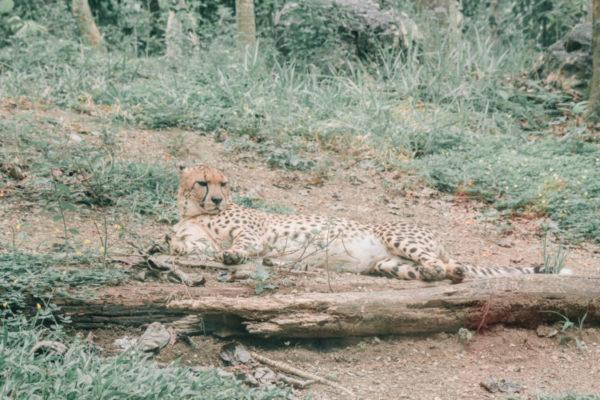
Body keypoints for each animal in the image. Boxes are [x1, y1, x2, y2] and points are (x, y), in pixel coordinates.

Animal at [166, 164, 564, 282]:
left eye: (224, 184)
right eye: (203, 182)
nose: (218, 200)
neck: (195, 213)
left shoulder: (253, 232)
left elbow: (242, 244)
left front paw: (234, 256)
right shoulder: (193, 239)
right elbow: (182, 245)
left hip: (399, 237)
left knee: (442, 264)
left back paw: (445, 270)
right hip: (389, 264)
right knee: (436, 269)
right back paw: (445, 274)